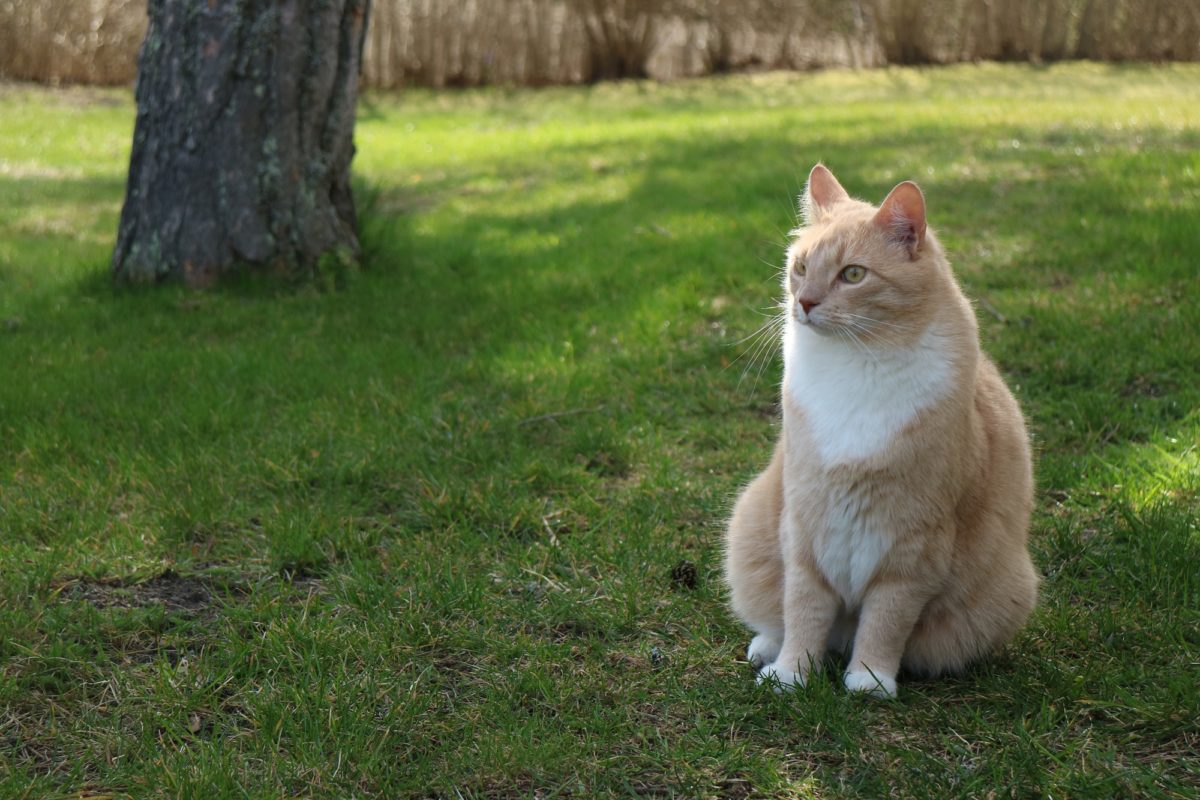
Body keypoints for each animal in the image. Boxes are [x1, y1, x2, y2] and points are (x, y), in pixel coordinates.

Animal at [720, 165, 1041, 695]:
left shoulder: (913, 548)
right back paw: (768, 647)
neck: (858, 364)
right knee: (783, 618)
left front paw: (870, 680)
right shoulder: (806, 527)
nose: (804, 302)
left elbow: (886, 621)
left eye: (853, 274)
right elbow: (803, 609)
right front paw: (791, 673)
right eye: (801, 267)